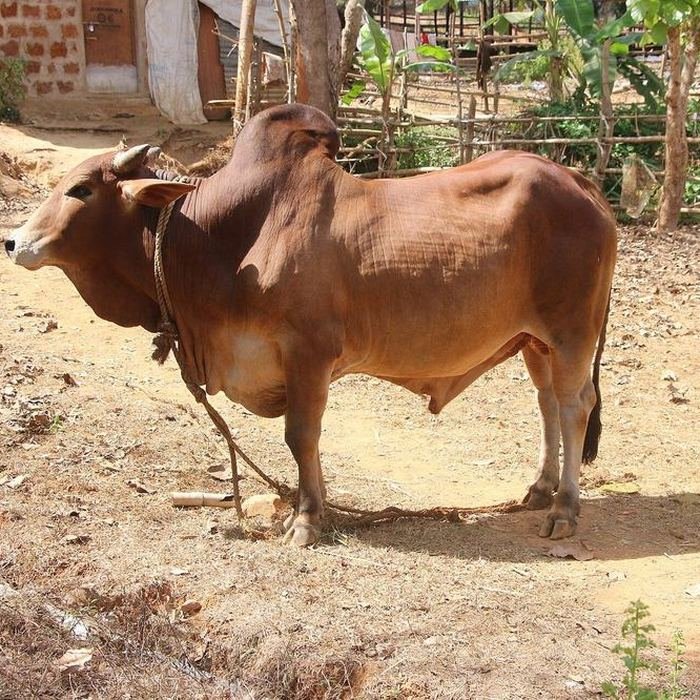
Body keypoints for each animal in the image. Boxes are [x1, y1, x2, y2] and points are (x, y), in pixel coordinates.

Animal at [4, 103, 617, 546]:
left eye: (81, 189)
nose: (14, 242)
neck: (221, 239)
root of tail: (579, 181)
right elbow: (306, 441)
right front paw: (309, 511)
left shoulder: (308, 354)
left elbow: (301, 435)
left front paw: (305, 520)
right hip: (534, 341)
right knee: (547, 405)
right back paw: (539, 489)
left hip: (571, 333)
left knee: (573, 406)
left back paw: (565, 510)